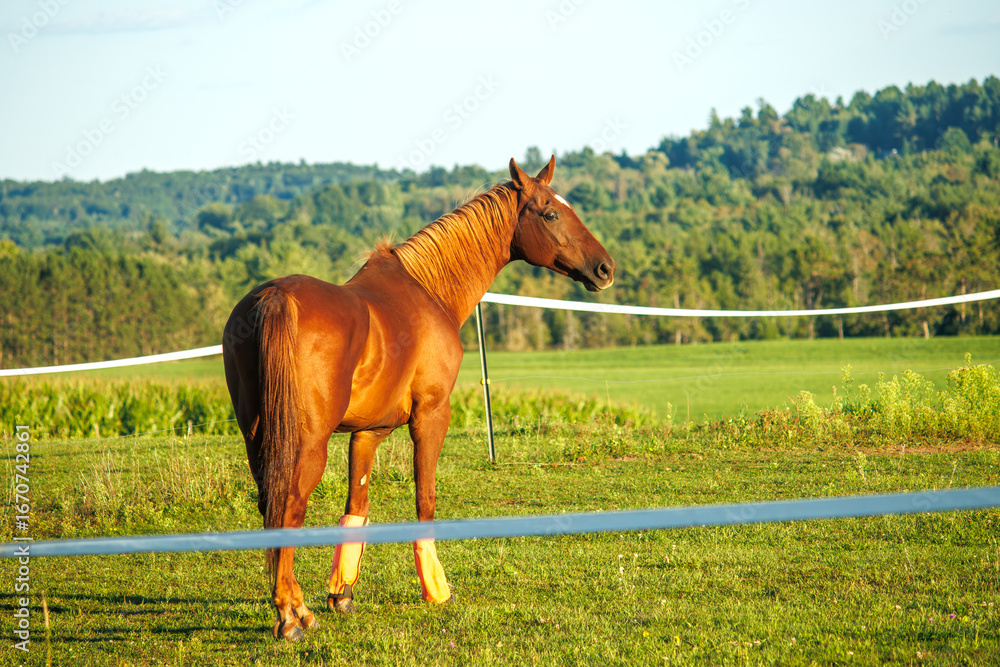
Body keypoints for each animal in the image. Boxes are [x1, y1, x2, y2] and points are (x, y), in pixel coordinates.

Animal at [222, 156, 615, 641]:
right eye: (551, 214)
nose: (604, 268)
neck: (429, 292)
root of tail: (275, 297)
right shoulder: (431, 415)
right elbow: (425, 498)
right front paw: (436, 589)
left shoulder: (367, 434)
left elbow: (356, 507)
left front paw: (342, 594)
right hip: (307, 443)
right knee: (288, 507)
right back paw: (291, 615)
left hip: (257, 439)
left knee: (269, 505)